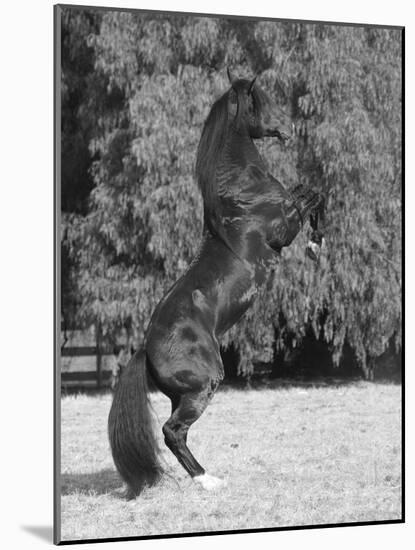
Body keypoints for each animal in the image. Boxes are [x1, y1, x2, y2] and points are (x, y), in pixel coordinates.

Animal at [109, 69, 326, 500]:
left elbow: (307, 189)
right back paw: (208, 480)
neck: (241, 191)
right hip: (204, 384)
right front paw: (315, 243)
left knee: (176, 433)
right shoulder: (282, 229)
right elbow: (312, 193)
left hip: (184, 393)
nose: (291, 127)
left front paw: (318, 241)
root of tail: (145, 349)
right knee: (172, 431)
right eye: (264, 100)